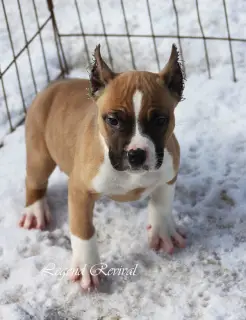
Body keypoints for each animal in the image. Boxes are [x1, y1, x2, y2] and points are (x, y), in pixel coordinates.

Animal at [19, 44, 185, 290]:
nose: (136, 154)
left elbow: (162, 205)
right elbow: (83, 231)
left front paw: (163, 233)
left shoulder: (168, 176)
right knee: (34, 180)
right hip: (39, 154)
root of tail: (55, 85)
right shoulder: (80, 191)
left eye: (160, 120)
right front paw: (87, 268)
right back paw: (34, 211)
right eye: (113, 120)